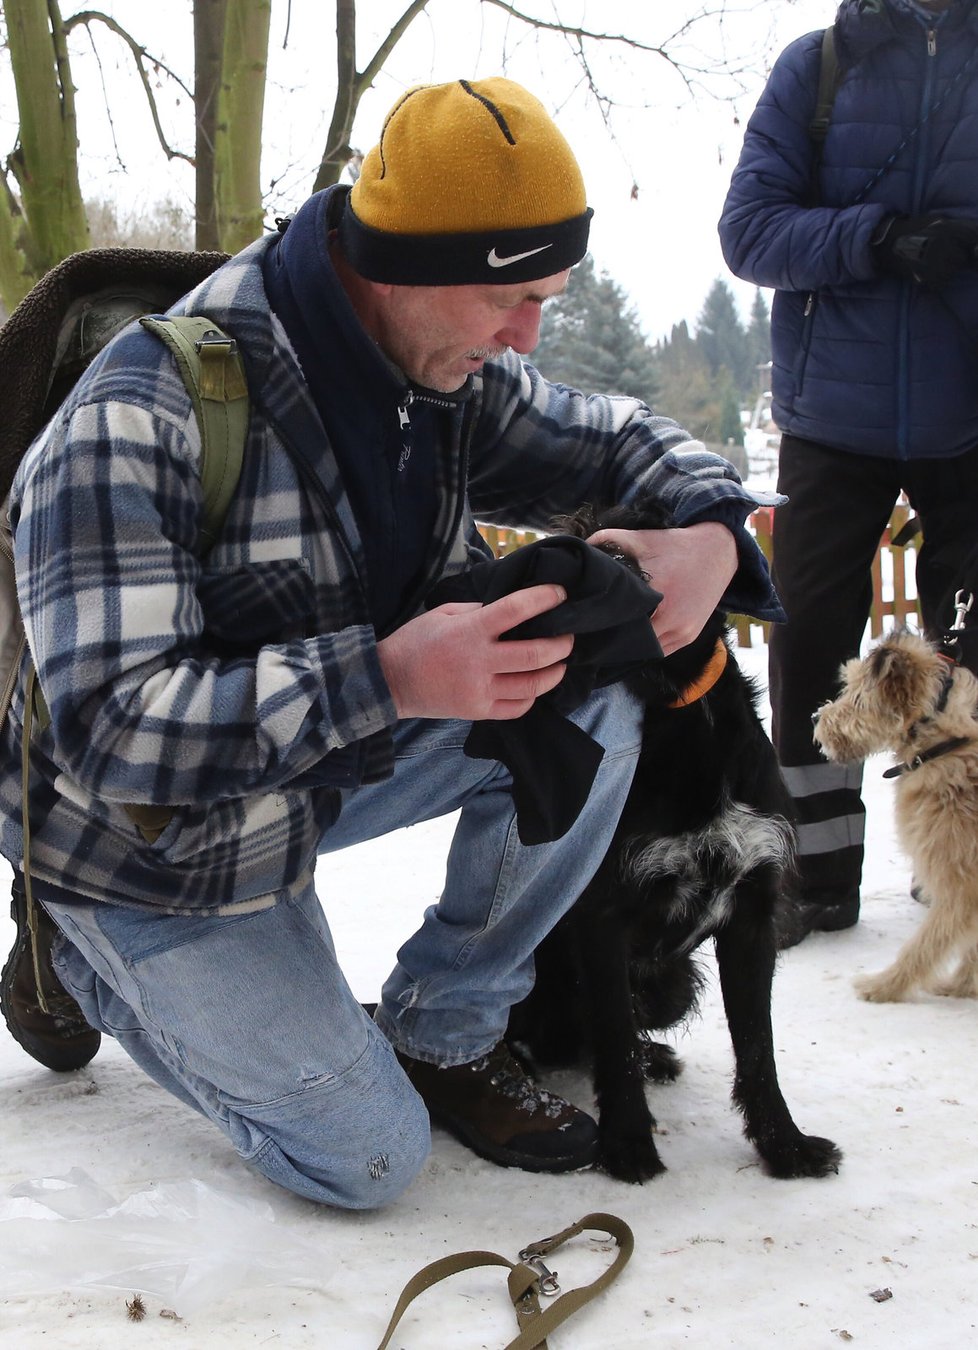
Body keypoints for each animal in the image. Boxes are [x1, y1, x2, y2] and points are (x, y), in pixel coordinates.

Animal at [505, 504, 842, 1182]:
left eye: (632, 540)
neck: (678, 711)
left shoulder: (753, 913)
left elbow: (758, 1045)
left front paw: (783, 1144)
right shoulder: (602, 918)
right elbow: (612, 1032)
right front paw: (627, 1142)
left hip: (673, 983)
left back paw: (652, 1057)